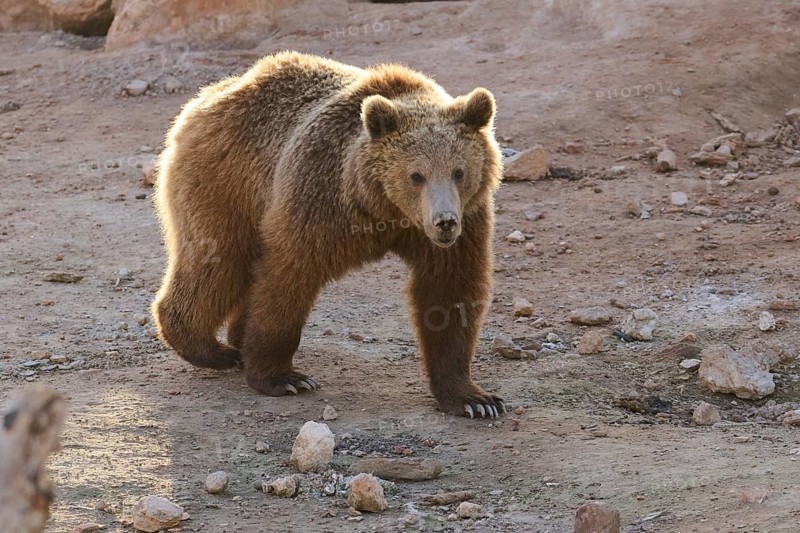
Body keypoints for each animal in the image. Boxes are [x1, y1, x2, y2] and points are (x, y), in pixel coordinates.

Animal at [151, 51, 504, 418]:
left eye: (459, 171)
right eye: (416, 175)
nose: (444, 221)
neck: (386, 212)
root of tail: (208, 96)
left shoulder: (465, 223)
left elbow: (450, 292)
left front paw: (474, 399)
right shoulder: (321, 197)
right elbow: (290, 273)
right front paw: (283, 377)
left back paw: (235, 341)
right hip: (227, 182)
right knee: (219, 261)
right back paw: (214, 349)